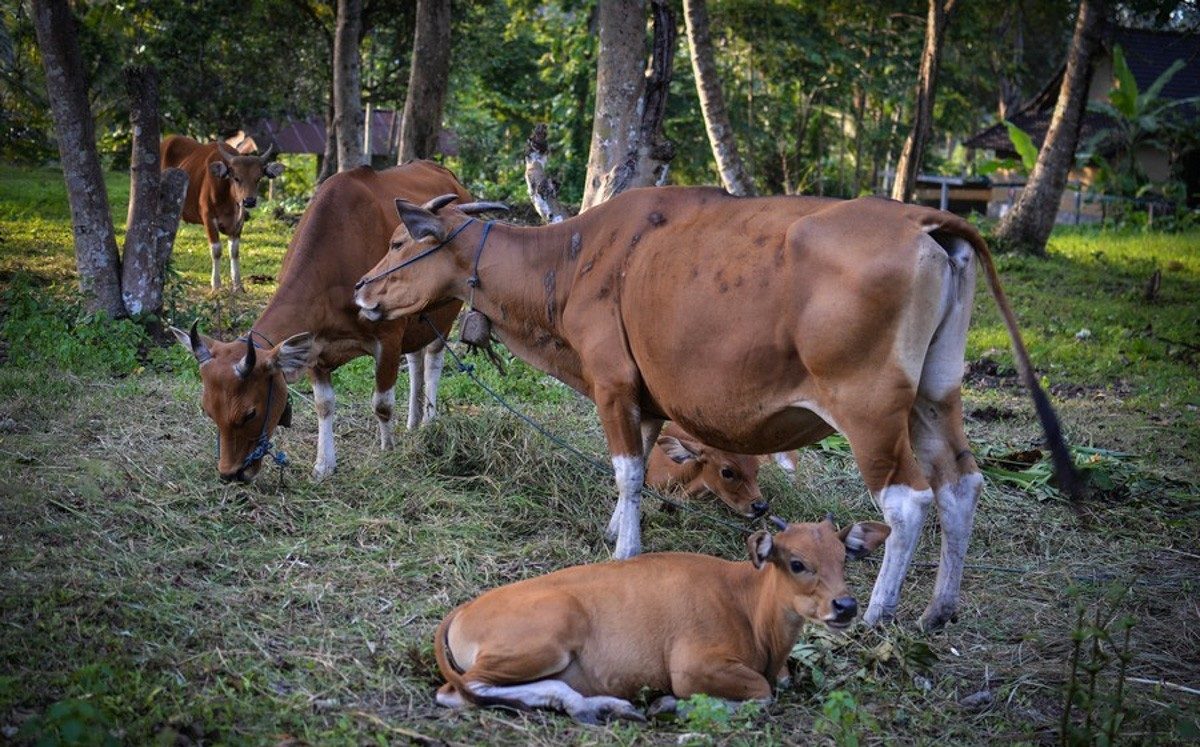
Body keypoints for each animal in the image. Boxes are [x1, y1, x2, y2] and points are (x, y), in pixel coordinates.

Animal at [160, 134, 284, 293]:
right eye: (236, 178)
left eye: (258, 179)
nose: (249, 201)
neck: (228, 200)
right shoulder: (209, 218)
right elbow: (216, 250)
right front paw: (216, 285)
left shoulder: (239, 222)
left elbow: (234, 251)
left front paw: (237, 286)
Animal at [170, 160, 477, 482]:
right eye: (208, 410)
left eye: (250, 413)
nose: (231, 474)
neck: (338, 256)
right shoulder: (315, 345)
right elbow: (324, 405)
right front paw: (323, 464)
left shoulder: (388, 337)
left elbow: (382, 404)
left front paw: (387, 449)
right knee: (416, 359)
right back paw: (413, 421)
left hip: (444, 314)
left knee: (432, 362)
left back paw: (429, 420)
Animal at [355, 187, 1080, 634]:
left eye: (395, 243)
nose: (361, 289)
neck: (576, 257)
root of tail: (924, 221)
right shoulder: (644, 396)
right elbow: (640, 469)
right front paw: (617, 530)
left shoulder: (613, 382)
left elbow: (625, 469)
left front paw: (624, 552)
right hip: (937, 393)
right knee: (961, 484)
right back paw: (940, 608)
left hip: (871, 408)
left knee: (909, 501)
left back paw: (878, 612)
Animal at [436, 518, 888, 725]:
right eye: (797, 563)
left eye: (843, 559)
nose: (845, 606)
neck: (747, 604)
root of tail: (464, 609)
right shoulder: (692, 667)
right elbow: (761, 693)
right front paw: (670, 705)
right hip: (548, 636)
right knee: (459, 691)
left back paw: (600, 706)